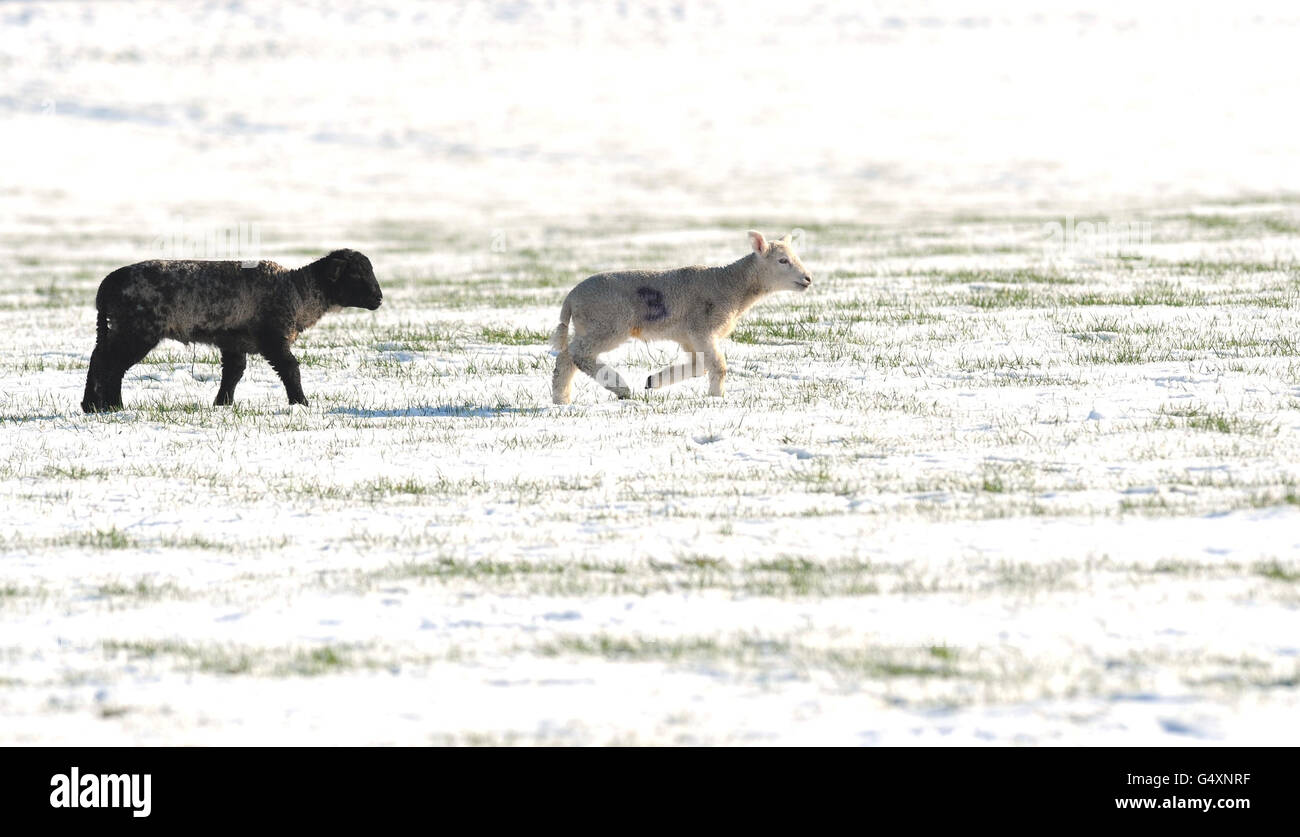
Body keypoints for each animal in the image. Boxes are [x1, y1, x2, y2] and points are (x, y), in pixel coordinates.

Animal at [83, 246, 379, 413]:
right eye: (356, 275)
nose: (379, 299)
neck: (299, 290)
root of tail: (107, 284)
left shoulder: (234, 341)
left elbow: (233, 374)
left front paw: (222, 405)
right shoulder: (272, 336)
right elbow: (290, 368)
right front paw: (301, 404)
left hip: (119, 327)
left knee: (98, 358)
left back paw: (91, 406)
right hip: (137, 329)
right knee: (111, 364)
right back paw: (113, 406)